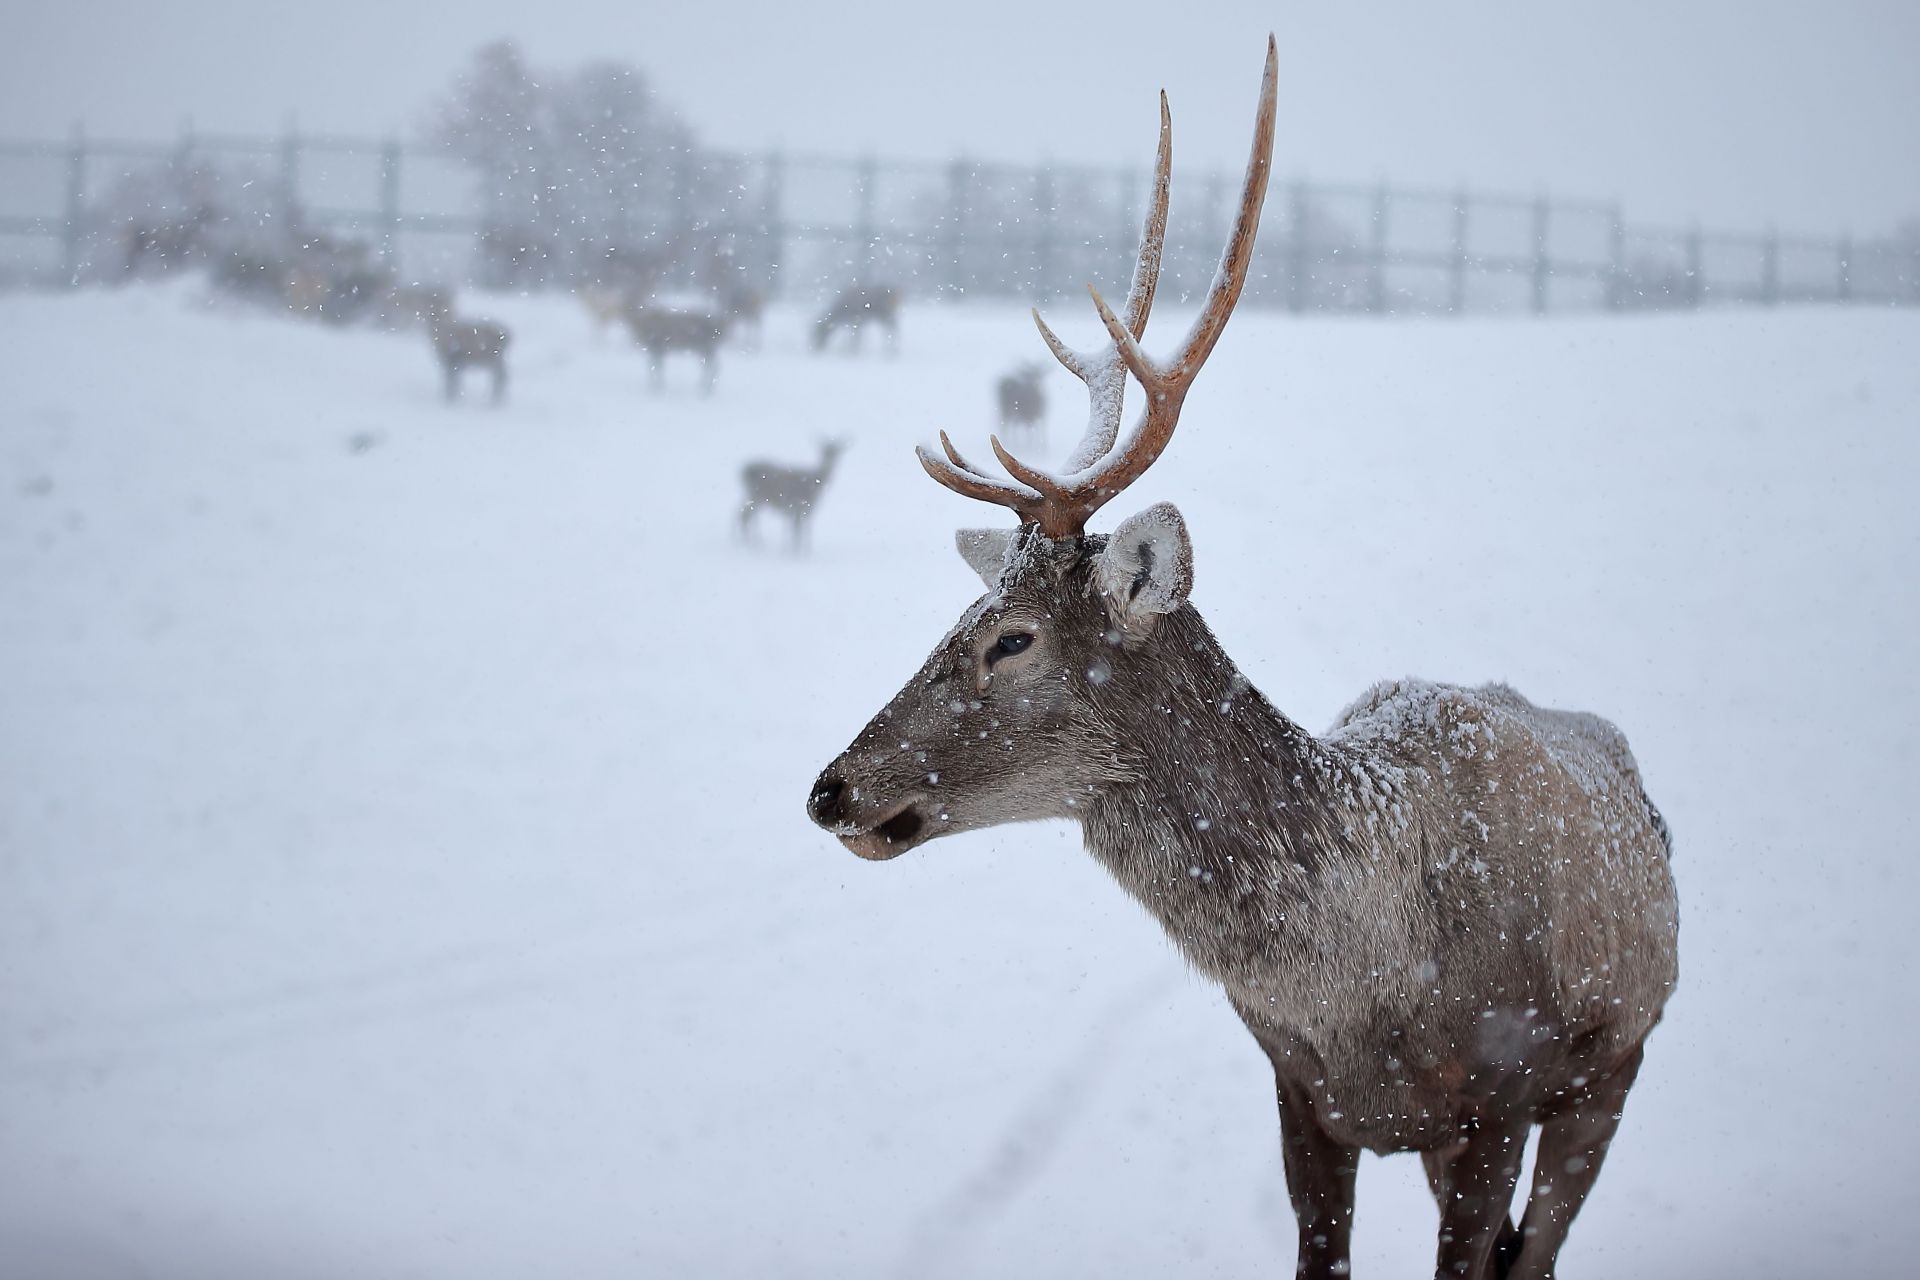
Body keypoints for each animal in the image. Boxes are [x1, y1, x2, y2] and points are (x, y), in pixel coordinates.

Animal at [802, 40, 1674, 1280]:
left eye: (1011, 637)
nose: (831, 787)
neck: (1371, 991)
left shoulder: (1503, 1095)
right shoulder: (1299, 1090)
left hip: (1616, 1061)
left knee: (1538, 1248)